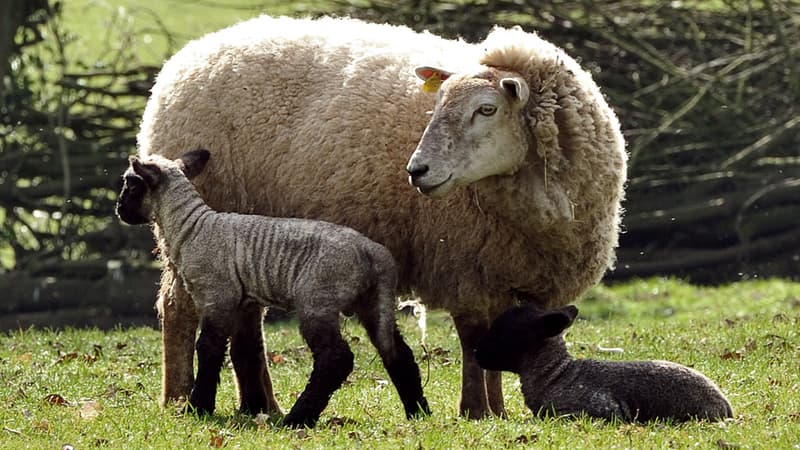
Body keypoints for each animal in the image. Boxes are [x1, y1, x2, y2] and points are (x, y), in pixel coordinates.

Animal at [113, 149, 432, 428]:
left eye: (131, 184)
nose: (119, 210)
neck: (191, 227)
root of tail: (374, 254)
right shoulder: (240, 302)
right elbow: (242, 349)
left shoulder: (217, 295)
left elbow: (208, 348)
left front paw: (199, 407)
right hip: (372, 303)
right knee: (397, 352)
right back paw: (418, 413)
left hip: (318, 300)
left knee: (336, 358)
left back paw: (298, 418)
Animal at [138, 14, 628, 418]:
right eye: (438, 104)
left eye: (487, 109)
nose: (417, 170)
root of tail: (192, 52)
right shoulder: (464, 265)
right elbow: (473, 339)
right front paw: (478, 411)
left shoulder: (521, 277)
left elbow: (505, 335)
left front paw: (499, 410)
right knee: (177, 309)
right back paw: (180, 399)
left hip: (248, 240)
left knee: (246, 319)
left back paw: (262, 406)